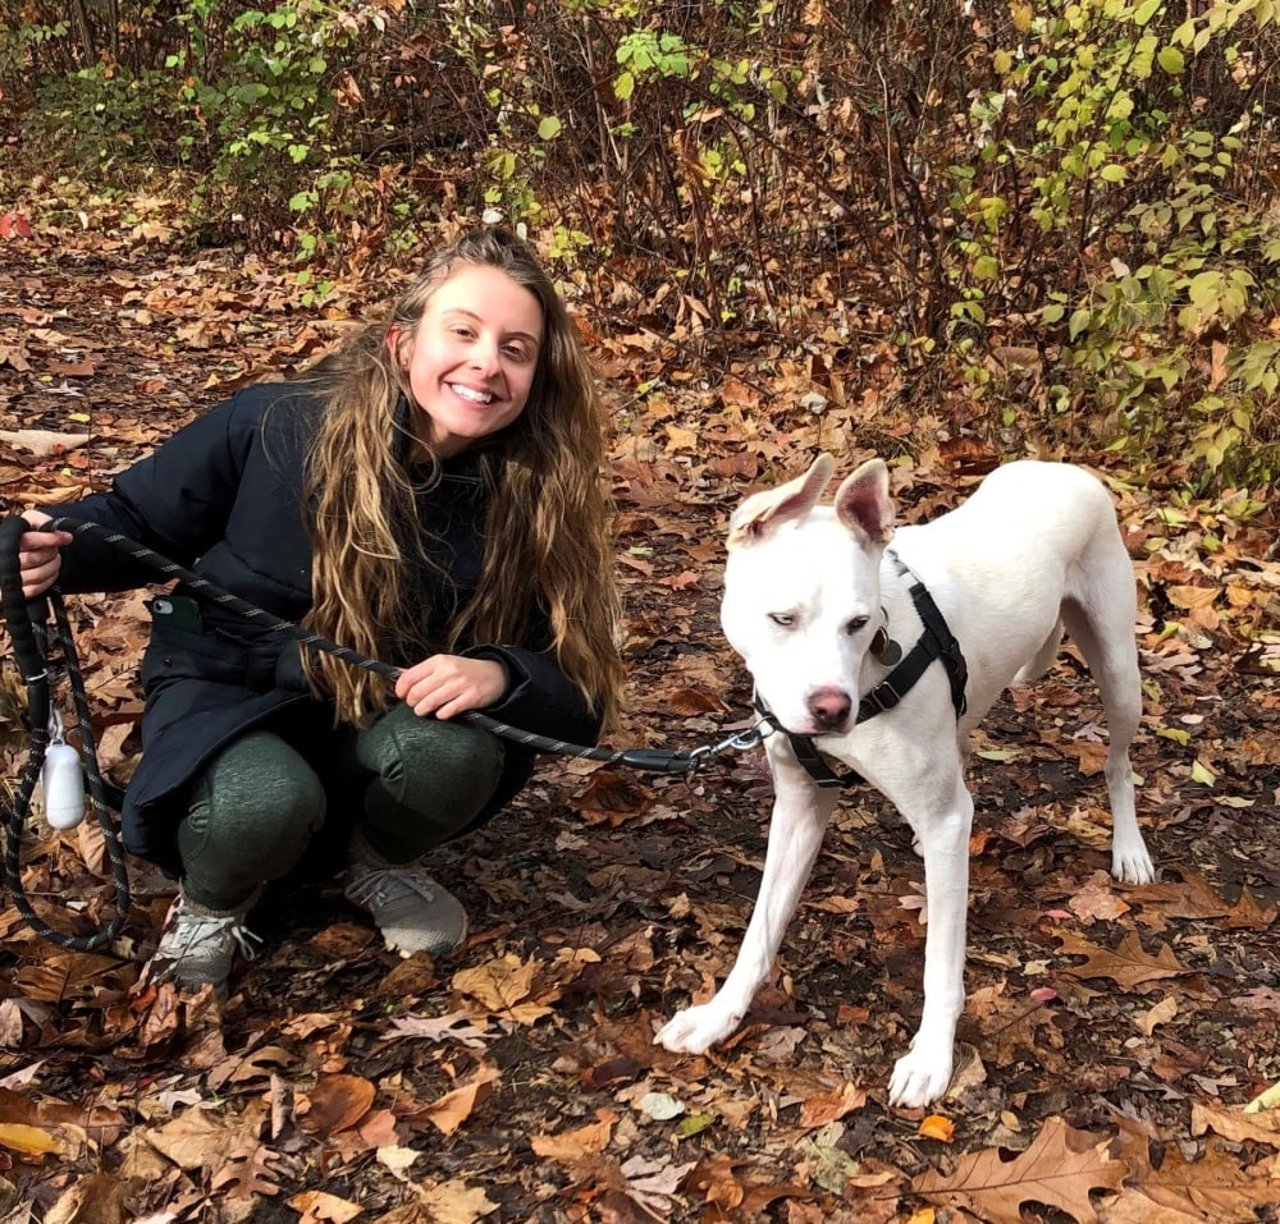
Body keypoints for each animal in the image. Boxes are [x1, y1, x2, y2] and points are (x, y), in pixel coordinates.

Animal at [655, 453, 1157, 1106]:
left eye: (859, 622)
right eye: (782, 618)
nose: (830, 709)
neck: (872, 670)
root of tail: (1065, 467)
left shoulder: (944, 822)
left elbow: (941, 965)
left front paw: (931, 1059)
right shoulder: (799, 806)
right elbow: (760, 930)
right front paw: (720, 1015)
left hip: (1119, 672)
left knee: (1118, 764)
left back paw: (1130, 849)